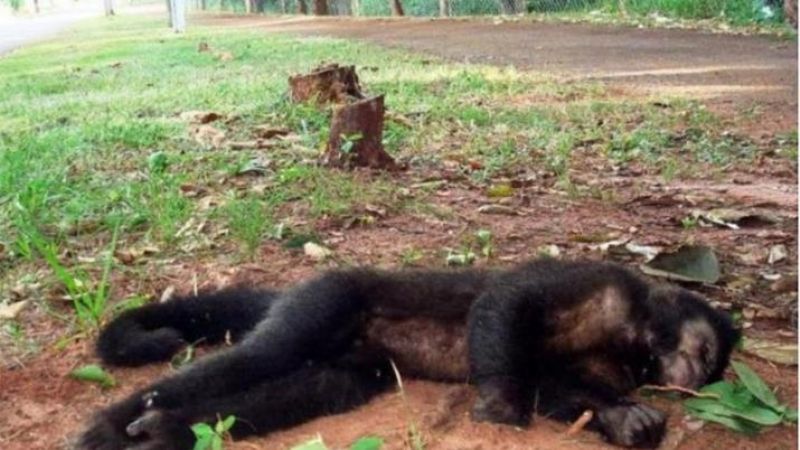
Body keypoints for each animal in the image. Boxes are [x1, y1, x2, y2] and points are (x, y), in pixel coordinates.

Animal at [75, 258, 739, 450]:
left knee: (310, 389)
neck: (633, 333)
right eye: (705, 352)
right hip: (328, 298)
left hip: (357, 362)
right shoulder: (598, 277)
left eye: (708, 372)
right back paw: (114, 424)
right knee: (263, 357)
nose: (687, 378)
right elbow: (503, 301)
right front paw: (500, 406)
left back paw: (167, 430)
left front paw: (627, 417)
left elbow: (560, 388)